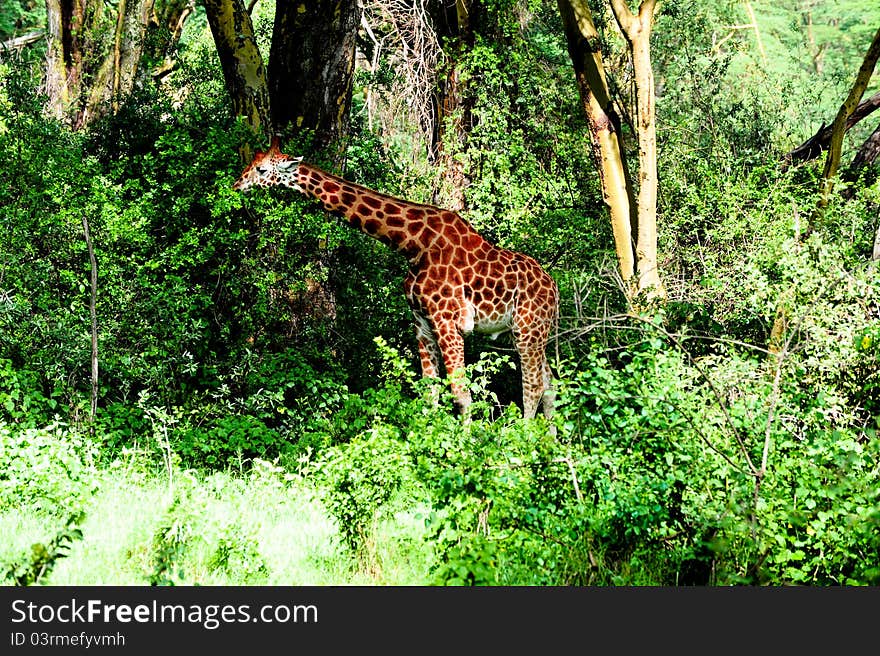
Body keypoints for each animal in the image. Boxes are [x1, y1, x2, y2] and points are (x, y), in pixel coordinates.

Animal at [234, 138, 556, 420]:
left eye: (261, 169)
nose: (236, 185)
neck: (413, 245)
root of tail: (554, 289)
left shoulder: (447, 321)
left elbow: (461, 394)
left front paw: (465, 445)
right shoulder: (422, 321)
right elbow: (430, 392)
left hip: (527, 329)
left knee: (533, 387)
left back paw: (526, 438)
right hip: (533, 332)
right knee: (550, 384)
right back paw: (550, 441)